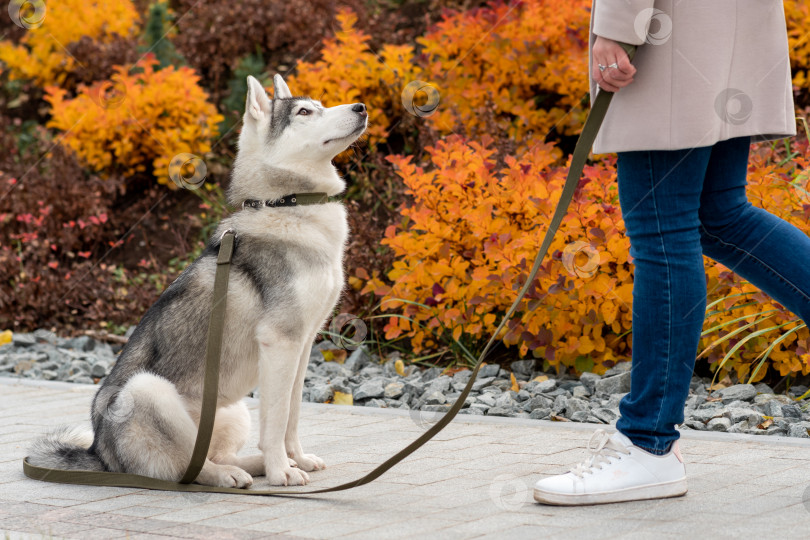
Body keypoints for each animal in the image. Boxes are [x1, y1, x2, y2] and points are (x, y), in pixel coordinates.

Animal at [25, 75, 366, 486]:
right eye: (304, 112)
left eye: (321, 105)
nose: (361, 107)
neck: (289, 204)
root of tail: (100, 454)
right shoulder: (280, 343)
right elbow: (276, 421)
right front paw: (281, 471)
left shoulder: (301, 346)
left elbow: (291, 417)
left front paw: (293, 459)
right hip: (147, 389)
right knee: (190, 466)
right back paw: (228, 476)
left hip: (234, 409)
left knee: (212, 453)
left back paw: (250, 465)